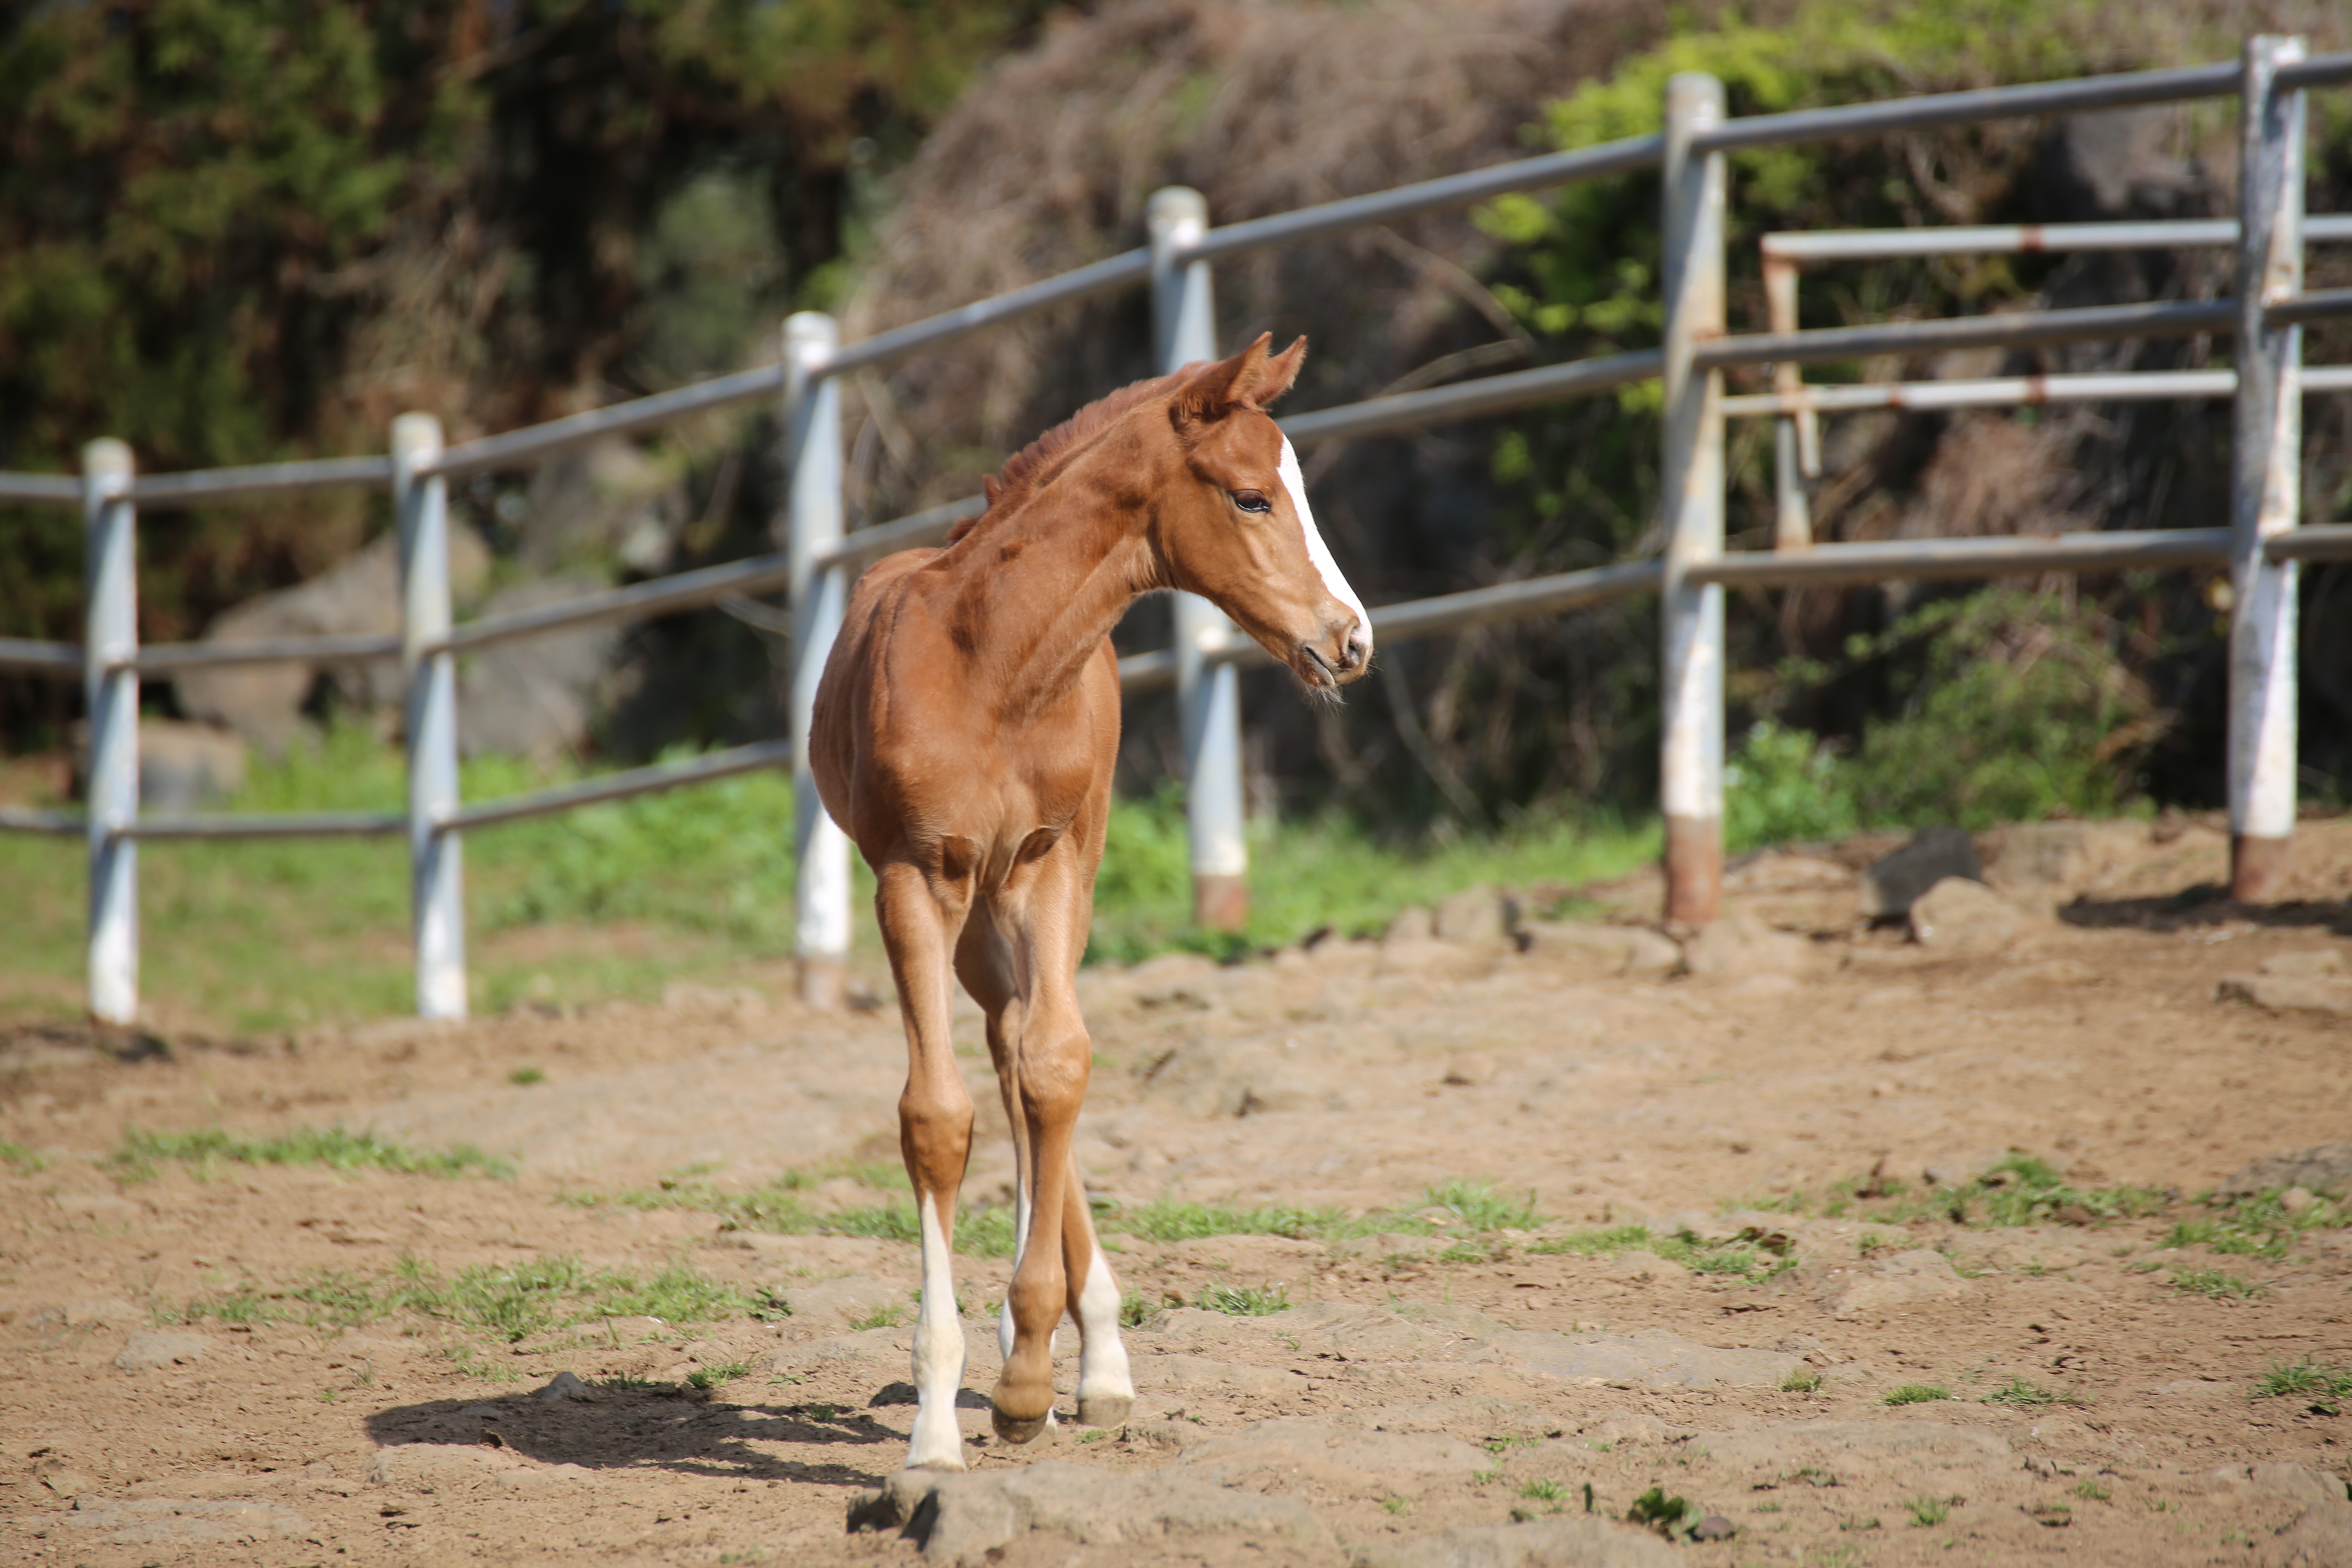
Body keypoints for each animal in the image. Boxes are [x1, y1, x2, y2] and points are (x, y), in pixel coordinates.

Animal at [809, 334, 1373, 1476]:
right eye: (1252, 496)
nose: (1352, 640)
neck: (991, 668)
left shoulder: (1048, 862)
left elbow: (1058, 1070)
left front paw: (1032, 1375)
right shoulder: (913, 878)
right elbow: (936, 1118)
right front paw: (939, 1424)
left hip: (1038, 889)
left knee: (1029, 1050)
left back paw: (1093, 1357)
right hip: (972, 917)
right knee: (1001, 1047)